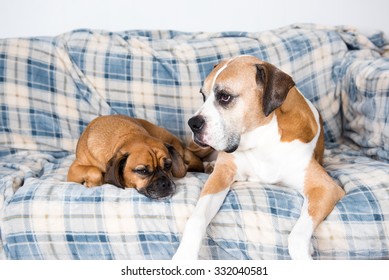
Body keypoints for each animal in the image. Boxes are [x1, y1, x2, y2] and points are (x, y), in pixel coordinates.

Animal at [66, 115, 203, 200]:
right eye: (142, 171)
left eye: (168, 165)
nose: (165, 183)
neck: (126, 136)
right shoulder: (73, 170)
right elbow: (94, 171)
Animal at [174, 55, 344, 260]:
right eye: (203, 96)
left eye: (224, 96)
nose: (193, 123)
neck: (260, 140)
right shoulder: (221, 175)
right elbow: (196, 219)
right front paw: (183, 256)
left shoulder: (325, 188)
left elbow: (296, 236)